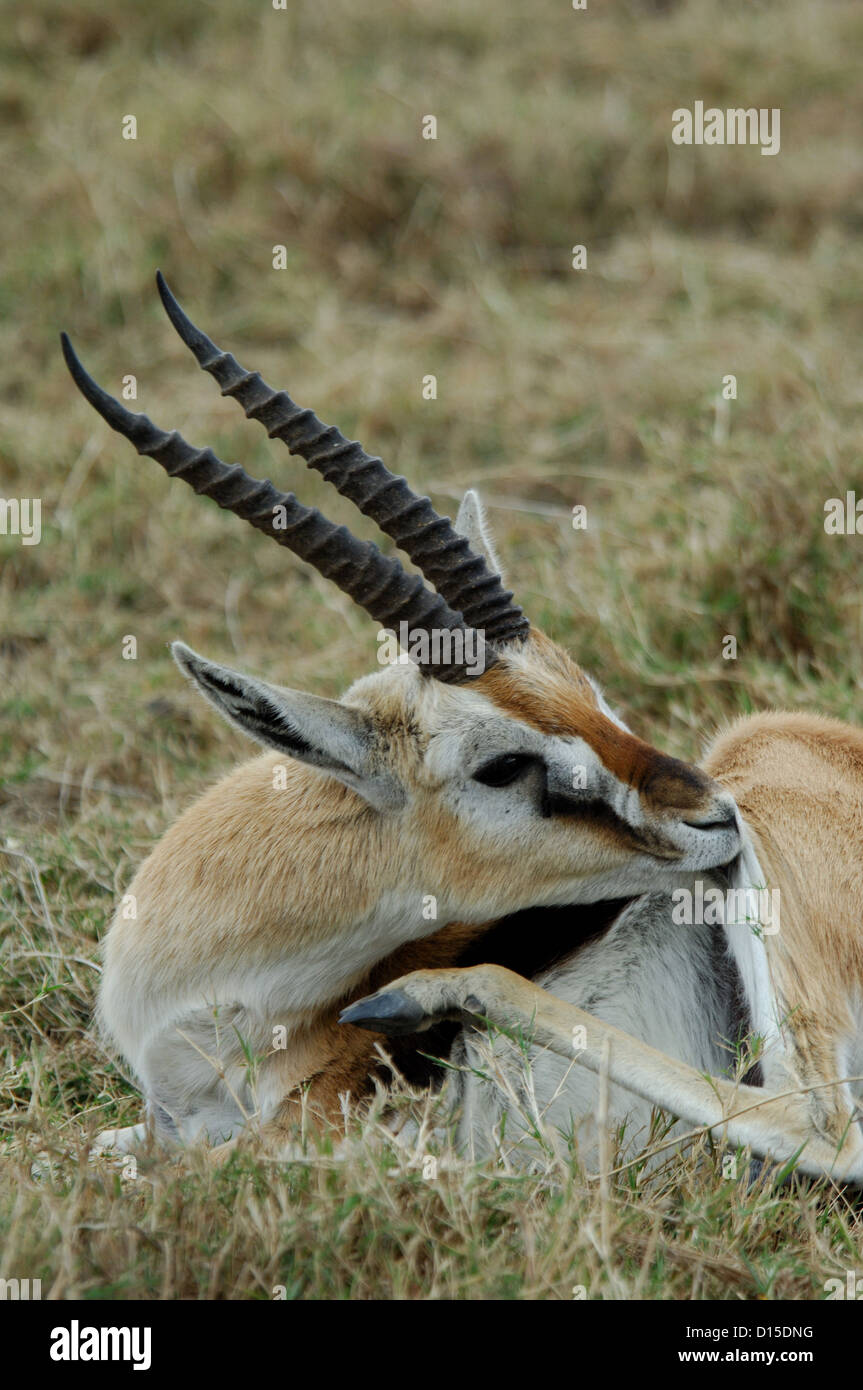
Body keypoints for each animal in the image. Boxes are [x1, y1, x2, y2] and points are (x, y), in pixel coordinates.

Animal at [61, 274, 863, 1184]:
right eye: (500, 764)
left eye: (586, 691)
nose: (711, 816)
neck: (208, 1023)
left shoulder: (300, 1126)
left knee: (821, 1123)